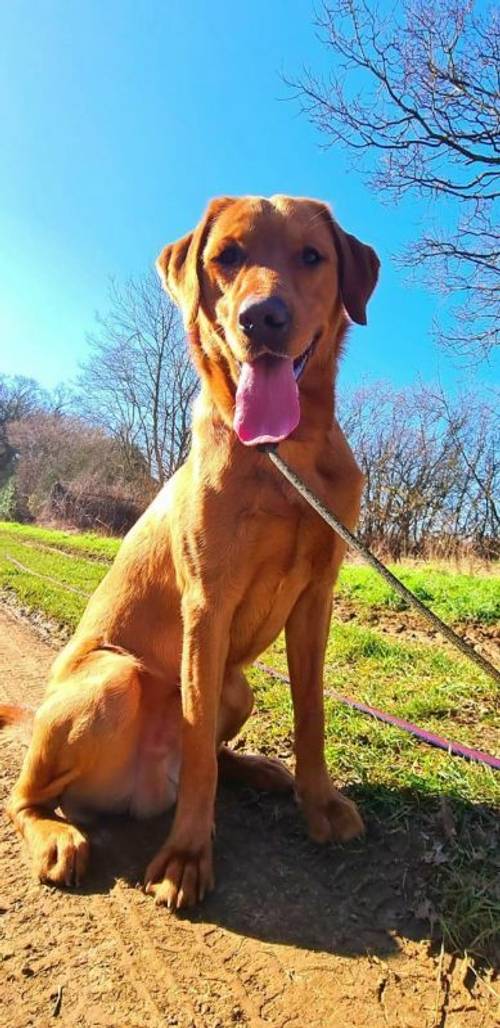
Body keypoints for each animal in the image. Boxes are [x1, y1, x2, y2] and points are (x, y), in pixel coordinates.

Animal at [2, 198, 378, 908]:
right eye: (226, 256)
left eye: (311, 256)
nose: (262, 317)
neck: (284, 456)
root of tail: (141, 791)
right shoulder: (206, 604)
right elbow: (198, 740)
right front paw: (187, 856)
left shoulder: (316, 599)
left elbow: (311, 712)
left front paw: (317, 803)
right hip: (114, 678)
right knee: (25, 797)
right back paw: (58, 836)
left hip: (238, 684)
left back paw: (258, 769)